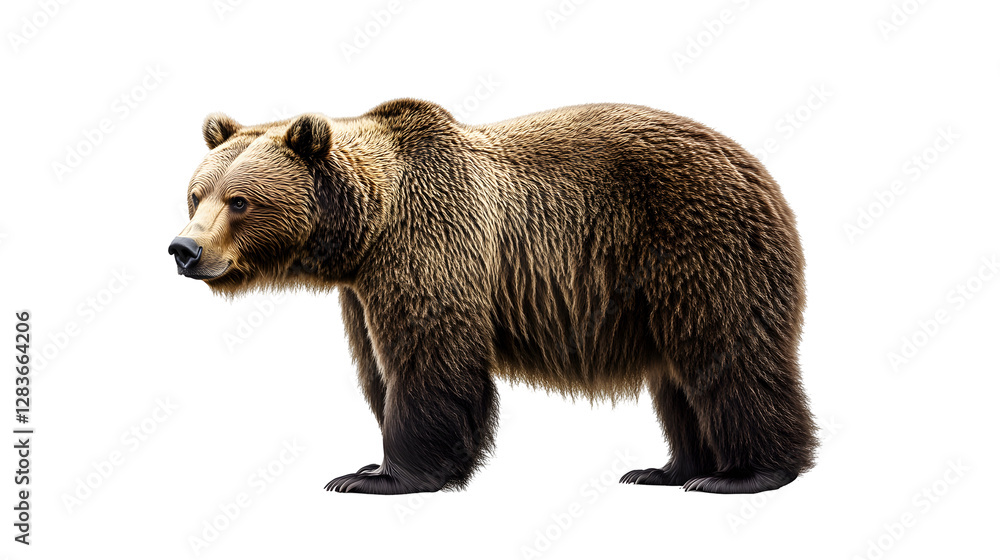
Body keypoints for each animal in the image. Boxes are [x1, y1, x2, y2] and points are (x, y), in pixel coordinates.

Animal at [168, 98, 817, 495]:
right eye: (195, 193)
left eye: (239, 201)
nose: (184, 249)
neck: (366, 231)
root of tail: (758, 168)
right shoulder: (363, 291)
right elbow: (378, 368)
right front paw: (369, 461)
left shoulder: (431, 247)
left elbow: (429, 360)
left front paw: (381, 476)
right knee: (676, 377)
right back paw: (665, 469)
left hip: (697, 244)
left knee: (727, 355)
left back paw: (745, 473)